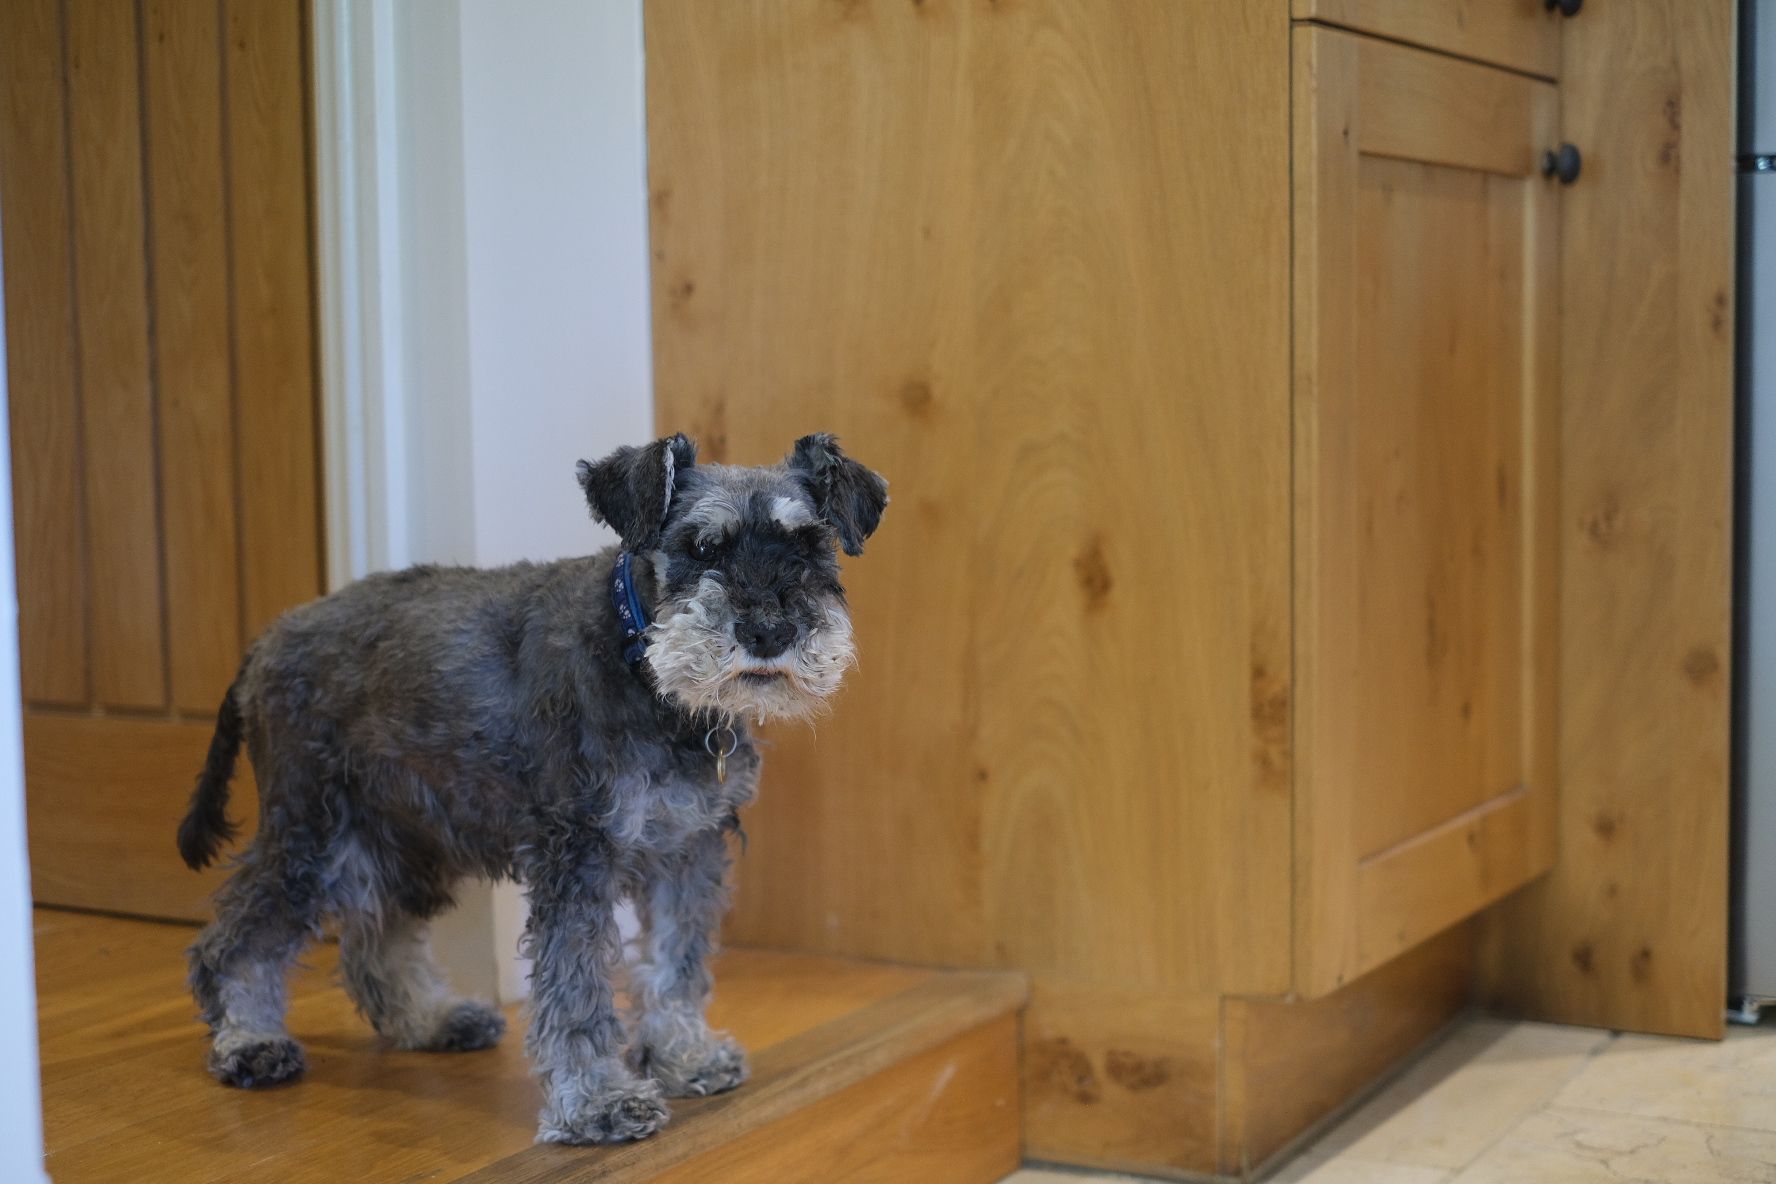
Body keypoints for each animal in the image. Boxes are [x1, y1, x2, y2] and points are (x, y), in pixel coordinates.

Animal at [175, 432, 887, 1145]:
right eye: (701, 547)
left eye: (810, 546)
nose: (769, 632)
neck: (641, 659)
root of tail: (265, 641)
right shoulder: (578, 854)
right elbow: (575, 985)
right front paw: (598, 1100)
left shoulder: (688, 849)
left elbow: (675, 961)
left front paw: (685, 1055)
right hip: (310, 834)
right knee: (235, 939)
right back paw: (249, 1042)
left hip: (406, 839)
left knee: (374, 942)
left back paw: (431, 1019)